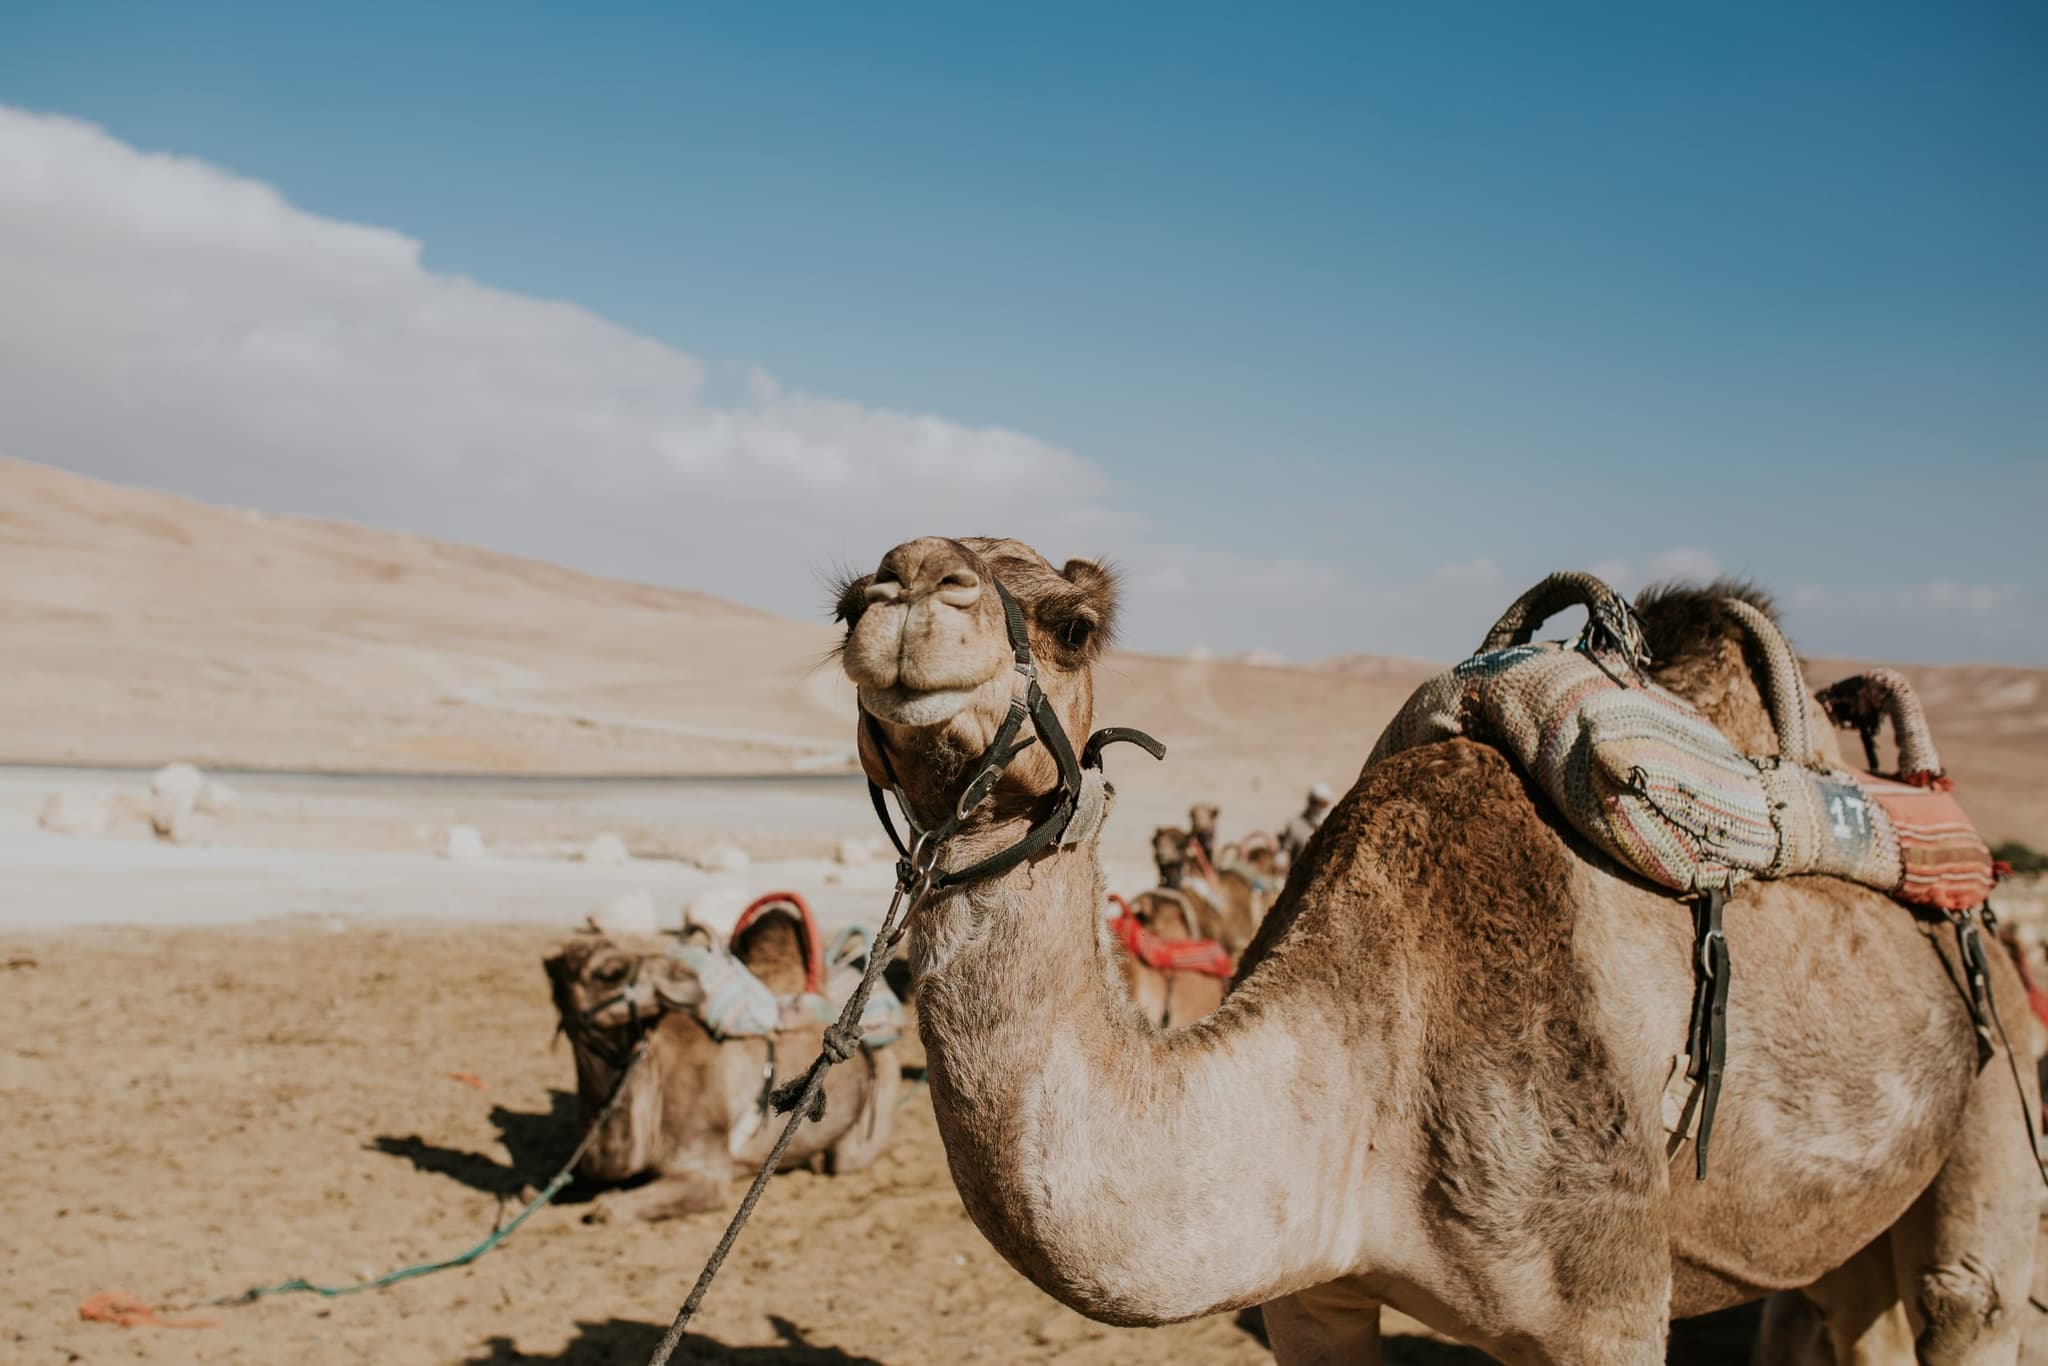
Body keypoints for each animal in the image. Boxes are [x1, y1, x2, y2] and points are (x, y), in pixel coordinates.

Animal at [836, 535, 2039, 1365]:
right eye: (847, 599)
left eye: (1074, 624)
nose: (909, 585)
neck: (1371, 1068)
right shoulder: (1310, 1295)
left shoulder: (1603, 1306)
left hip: (1996, 1052)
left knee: (1964, 1291)